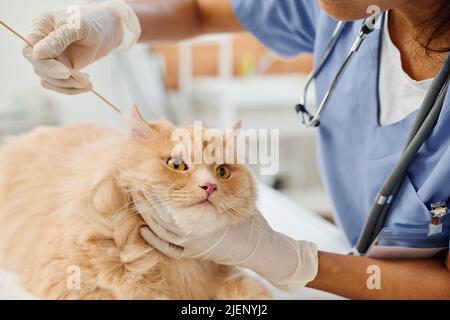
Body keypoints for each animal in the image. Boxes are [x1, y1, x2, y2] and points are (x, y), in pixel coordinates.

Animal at [0, 108, 268, 300]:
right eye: (177, 164)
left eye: (222, 172)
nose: (210, 186)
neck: (177, 263)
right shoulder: (68, 278)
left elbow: (251, 290)